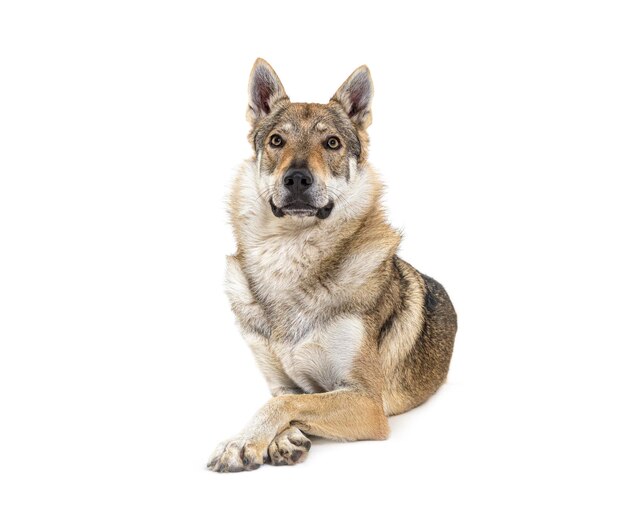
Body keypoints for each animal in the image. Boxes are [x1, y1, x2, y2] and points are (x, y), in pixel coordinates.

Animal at [207, 60, 456, 472]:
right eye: (277, 141)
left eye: (332, 144)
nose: (297, 178)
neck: (289, 253)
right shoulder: (281, 381)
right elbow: (288, 397)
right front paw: (282, 439)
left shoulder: (367, 402)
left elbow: (287, 403)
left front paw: (243, 442)